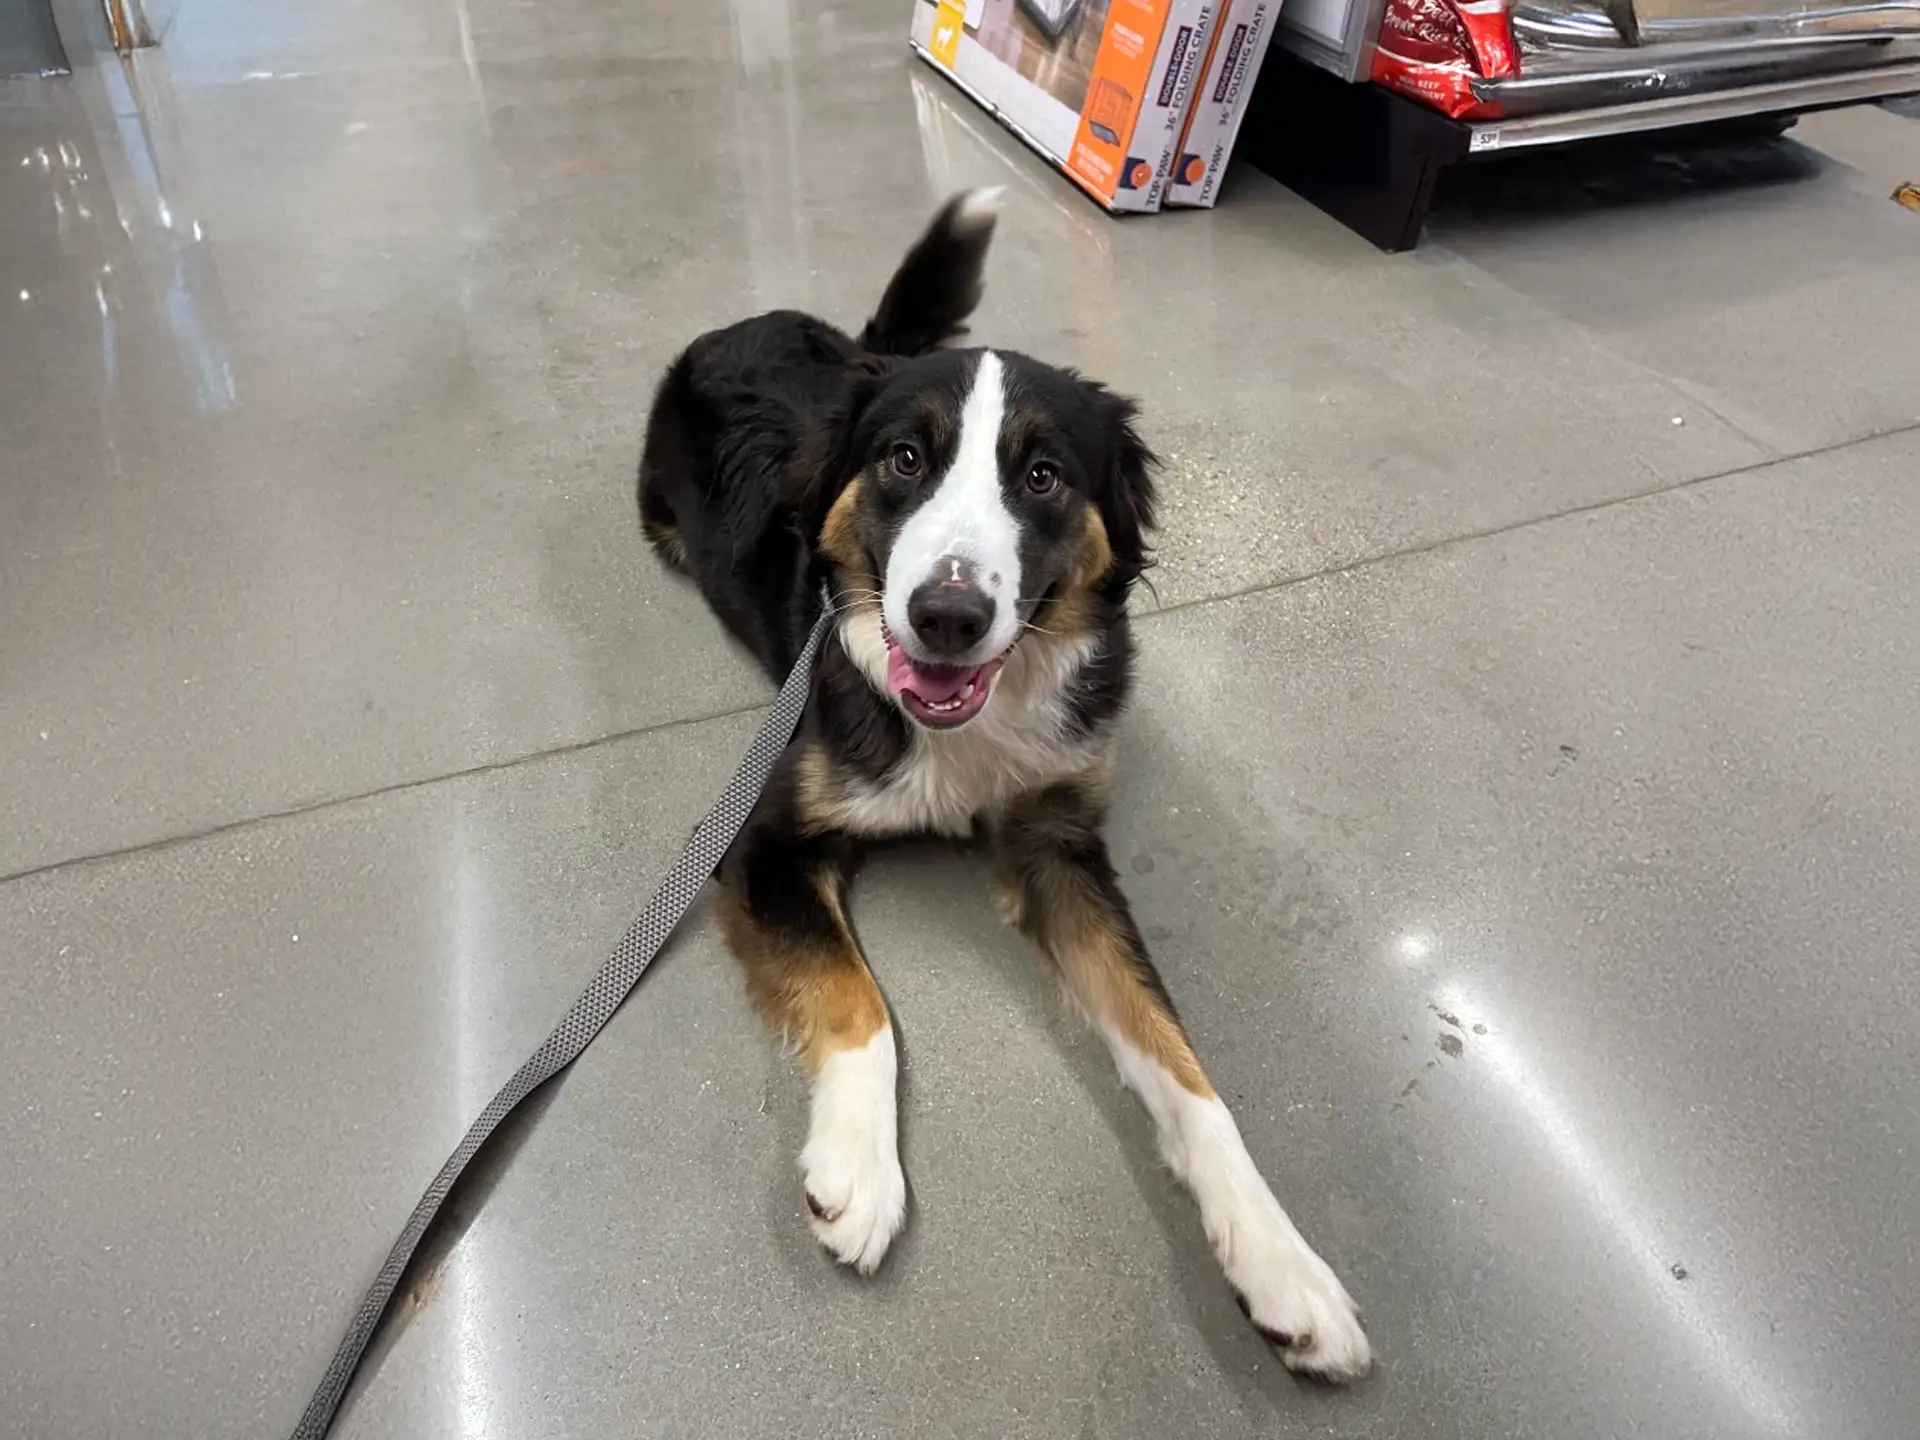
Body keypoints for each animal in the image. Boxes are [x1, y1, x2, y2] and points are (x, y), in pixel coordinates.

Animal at [637, 192, 1374, 1390]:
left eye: (1042, 477)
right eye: (903, 459)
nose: (946, 616)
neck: (969, 728)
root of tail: (752, 322)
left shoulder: (1060, 843)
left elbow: (1182, 1060)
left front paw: (1280, 1261)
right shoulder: (764, 839)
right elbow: (861, 1003)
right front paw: (859, 1171)